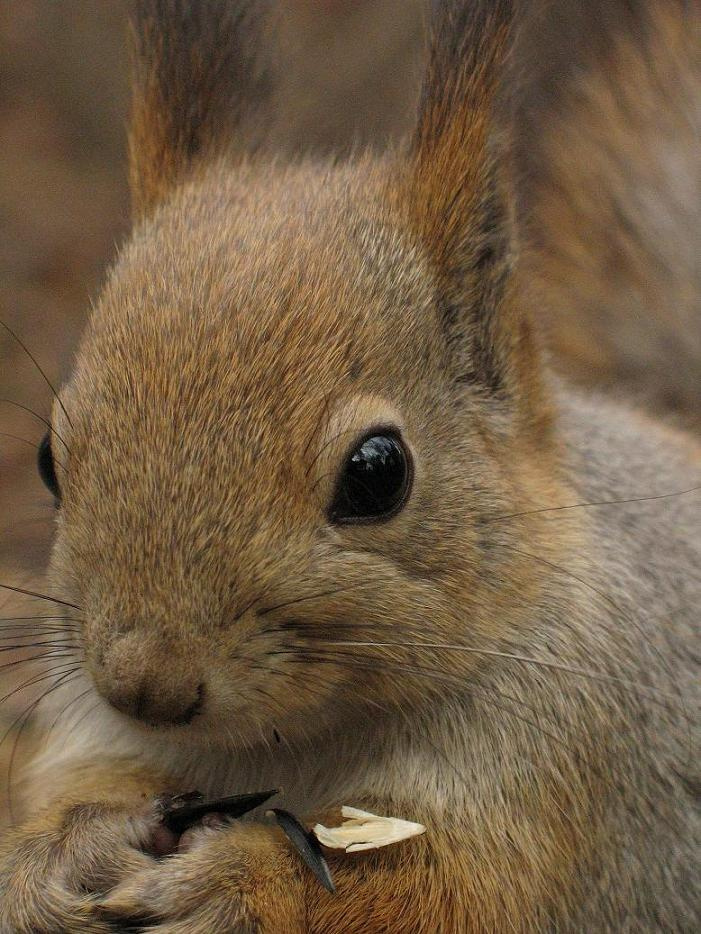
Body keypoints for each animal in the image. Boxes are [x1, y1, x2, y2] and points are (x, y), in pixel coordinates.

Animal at [0, 0, 698, 931]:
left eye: (378, 473)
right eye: (50, 458)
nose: (145, 689)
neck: (293, 743)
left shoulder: (561, 759)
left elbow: (447, 893)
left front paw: (239, 882)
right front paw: (63, 850)